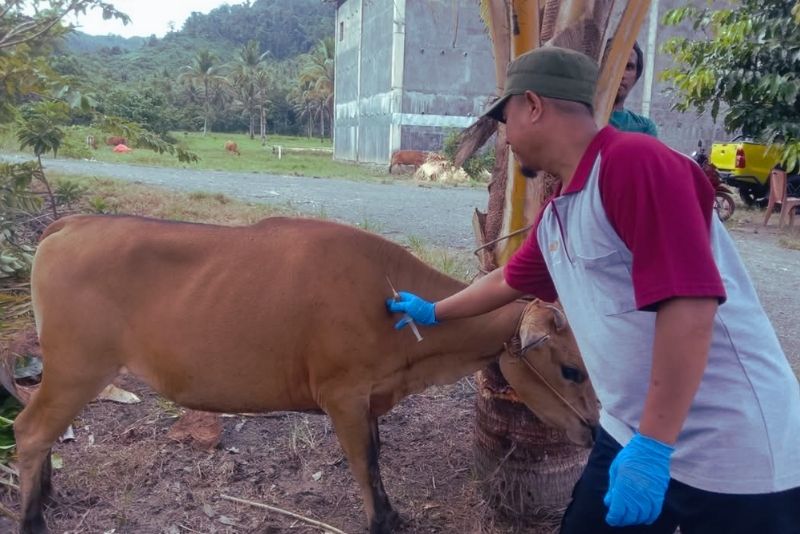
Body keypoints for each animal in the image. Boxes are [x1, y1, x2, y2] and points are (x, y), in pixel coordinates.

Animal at [15, 217, 596, 534]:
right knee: (29, 431)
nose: (594, 431)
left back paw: (45, 495)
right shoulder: (342, 393)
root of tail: (73, 223)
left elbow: (376, 459)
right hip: (76, 367)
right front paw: (383, 523)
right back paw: (31, 518)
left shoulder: (368, 396)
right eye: (571, 368)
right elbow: (366, 466)